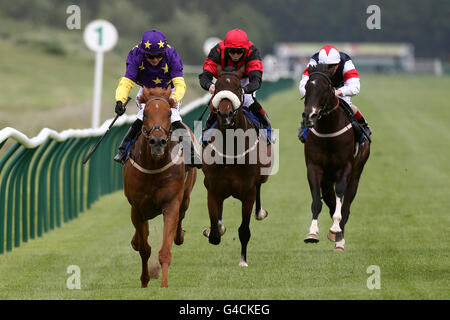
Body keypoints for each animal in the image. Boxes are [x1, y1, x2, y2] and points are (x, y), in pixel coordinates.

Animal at [121, 87, 197, 288]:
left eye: (169, 113)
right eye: (145, 114)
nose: (157, 141)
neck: (153, 167)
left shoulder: (171, 204)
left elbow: (165, 250)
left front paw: (164, 285)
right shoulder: (137, 207)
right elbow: (144, 249)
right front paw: (145, 280)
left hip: (186, 197)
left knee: (181, 216)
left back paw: (179, 235)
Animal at [201, 65, 272, 268]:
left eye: (239, 88)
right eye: (216, 87)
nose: (225, 115)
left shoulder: (248, 192)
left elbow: (244, 230)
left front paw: (243, 260)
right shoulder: (212, 189)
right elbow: (214, 230)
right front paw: (214, 230)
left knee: (259, 188)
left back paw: (260, 213)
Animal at [300, 63, 370, 252]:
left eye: (326, 88)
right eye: (307, 87)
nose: (310, 116)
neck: (328, 131)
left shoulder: (345, 168)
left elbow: (340, 195)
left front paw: (335, 230)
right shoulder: (314, 168)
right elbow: (317, 201)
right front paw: (312, 233)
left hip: (356, 174)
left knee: (346, 207)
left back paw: (339, 240)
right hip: (326, 179)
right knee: (330, 202)